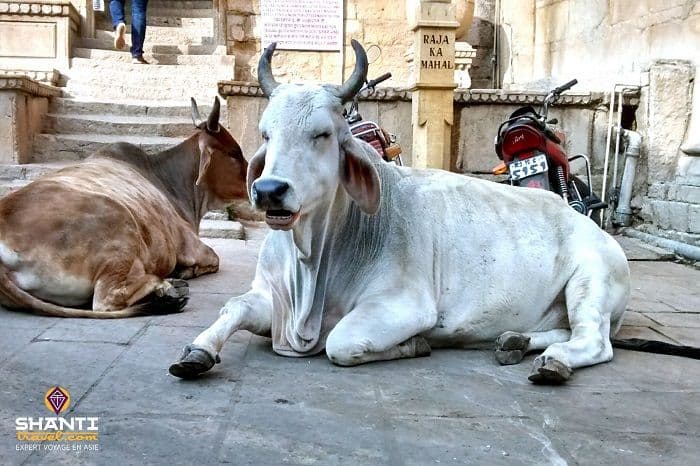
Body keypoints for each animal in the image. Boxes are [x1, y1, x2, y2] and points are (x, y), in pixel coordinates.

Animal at [0, 98, 248, 318]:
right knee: (107, 300)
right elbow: (214, 258)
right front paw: (184, 271)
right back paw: (166, 287)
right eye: (235, 153)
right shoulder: (190, 244)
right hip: (119, 227)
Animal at [169, 41, 631, 384]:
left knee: (593, 342)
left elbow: (340, 342)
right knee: (563, 331)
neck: (311, 260)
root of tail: (592, 227)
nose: (269, 191)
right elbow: (233, 308)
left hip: (591, 280)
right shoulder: (271, 299)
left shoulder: (404, 305)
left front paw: (417, 344)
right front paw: (197, 351)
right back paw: (515, 341)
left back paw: (554, 362)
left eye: (322, 134)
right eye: (266, 133)